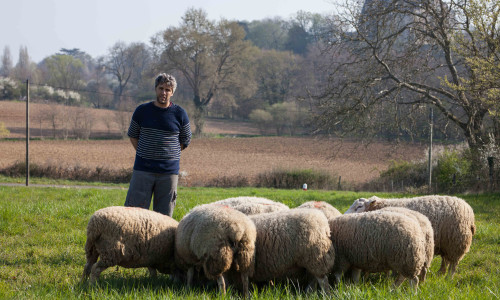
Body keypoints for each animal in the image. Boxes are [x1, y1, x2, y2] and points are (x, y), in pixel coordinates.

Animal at [346, 195, 474, 276]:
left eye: (359, 206)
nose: (344, 215)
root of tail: (469, 210)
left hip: (457, 242)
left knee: (453, 264)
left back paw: (448, 278)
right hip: (447, 244)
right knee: (446, 260)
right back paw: (440, 274)